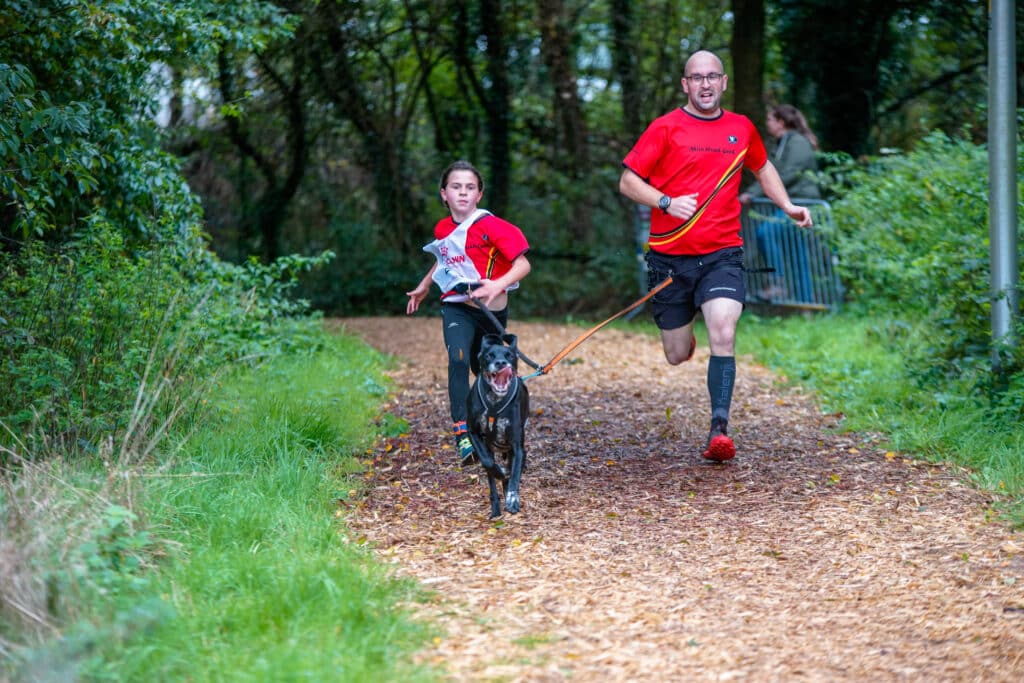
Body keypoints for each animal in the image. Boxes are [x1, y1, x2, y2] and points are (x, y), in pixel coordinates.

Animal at [464, 331, 528, 518]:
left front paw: (513, 499)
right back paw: (496, 507)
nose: (501, 363)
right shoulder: (473, 432)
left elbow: (514, 475)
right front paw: (500, 473)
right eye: (489, 355)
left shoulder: (518, 447)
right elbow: (488, 463)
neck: (494, 401)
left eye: (509, 355)